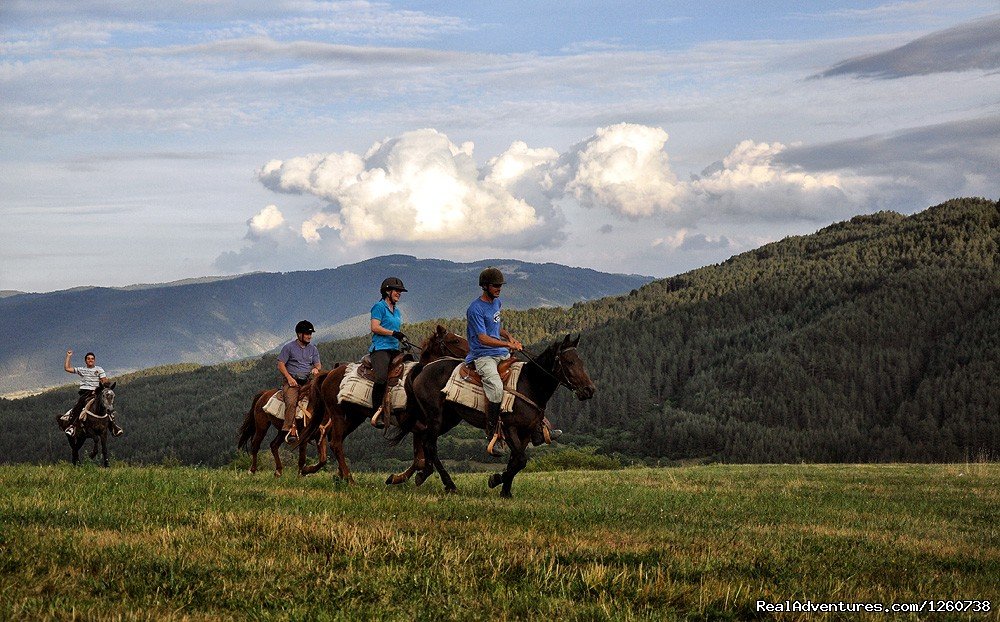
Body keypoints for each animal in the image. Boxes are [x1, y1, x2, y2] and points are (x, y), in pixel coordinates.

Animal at [296, 326, 468, 488]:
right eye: (455, 340)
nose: (469, 356)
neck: (418, 380)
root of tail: (330, 373)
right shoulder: (417, 426)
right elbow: (421, 459)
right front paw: (402, 478)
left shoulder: (420, 428)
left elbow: (419, 459)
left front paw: (398, 478)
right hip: (338, 414)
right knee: (336, 443)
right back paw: (349, 479)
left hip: (353, 418)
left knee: (334, 439)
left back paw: (333, 475)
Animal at [390, 334, 592, 500]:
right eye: (569, 362)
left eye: (581, 362)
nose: (589, 390)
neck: (529, 384)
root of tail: (424, 368)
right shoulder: (509, 428)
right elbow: (520, 460)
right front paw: (495, 480)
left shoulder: (526, 432)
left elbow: (515, 461)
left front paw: (506, 491)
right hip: (435, 416)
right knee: (430, 445)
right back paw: (449, 484)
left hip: (448, 419)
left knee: (425, 441)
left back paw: (419, 475)